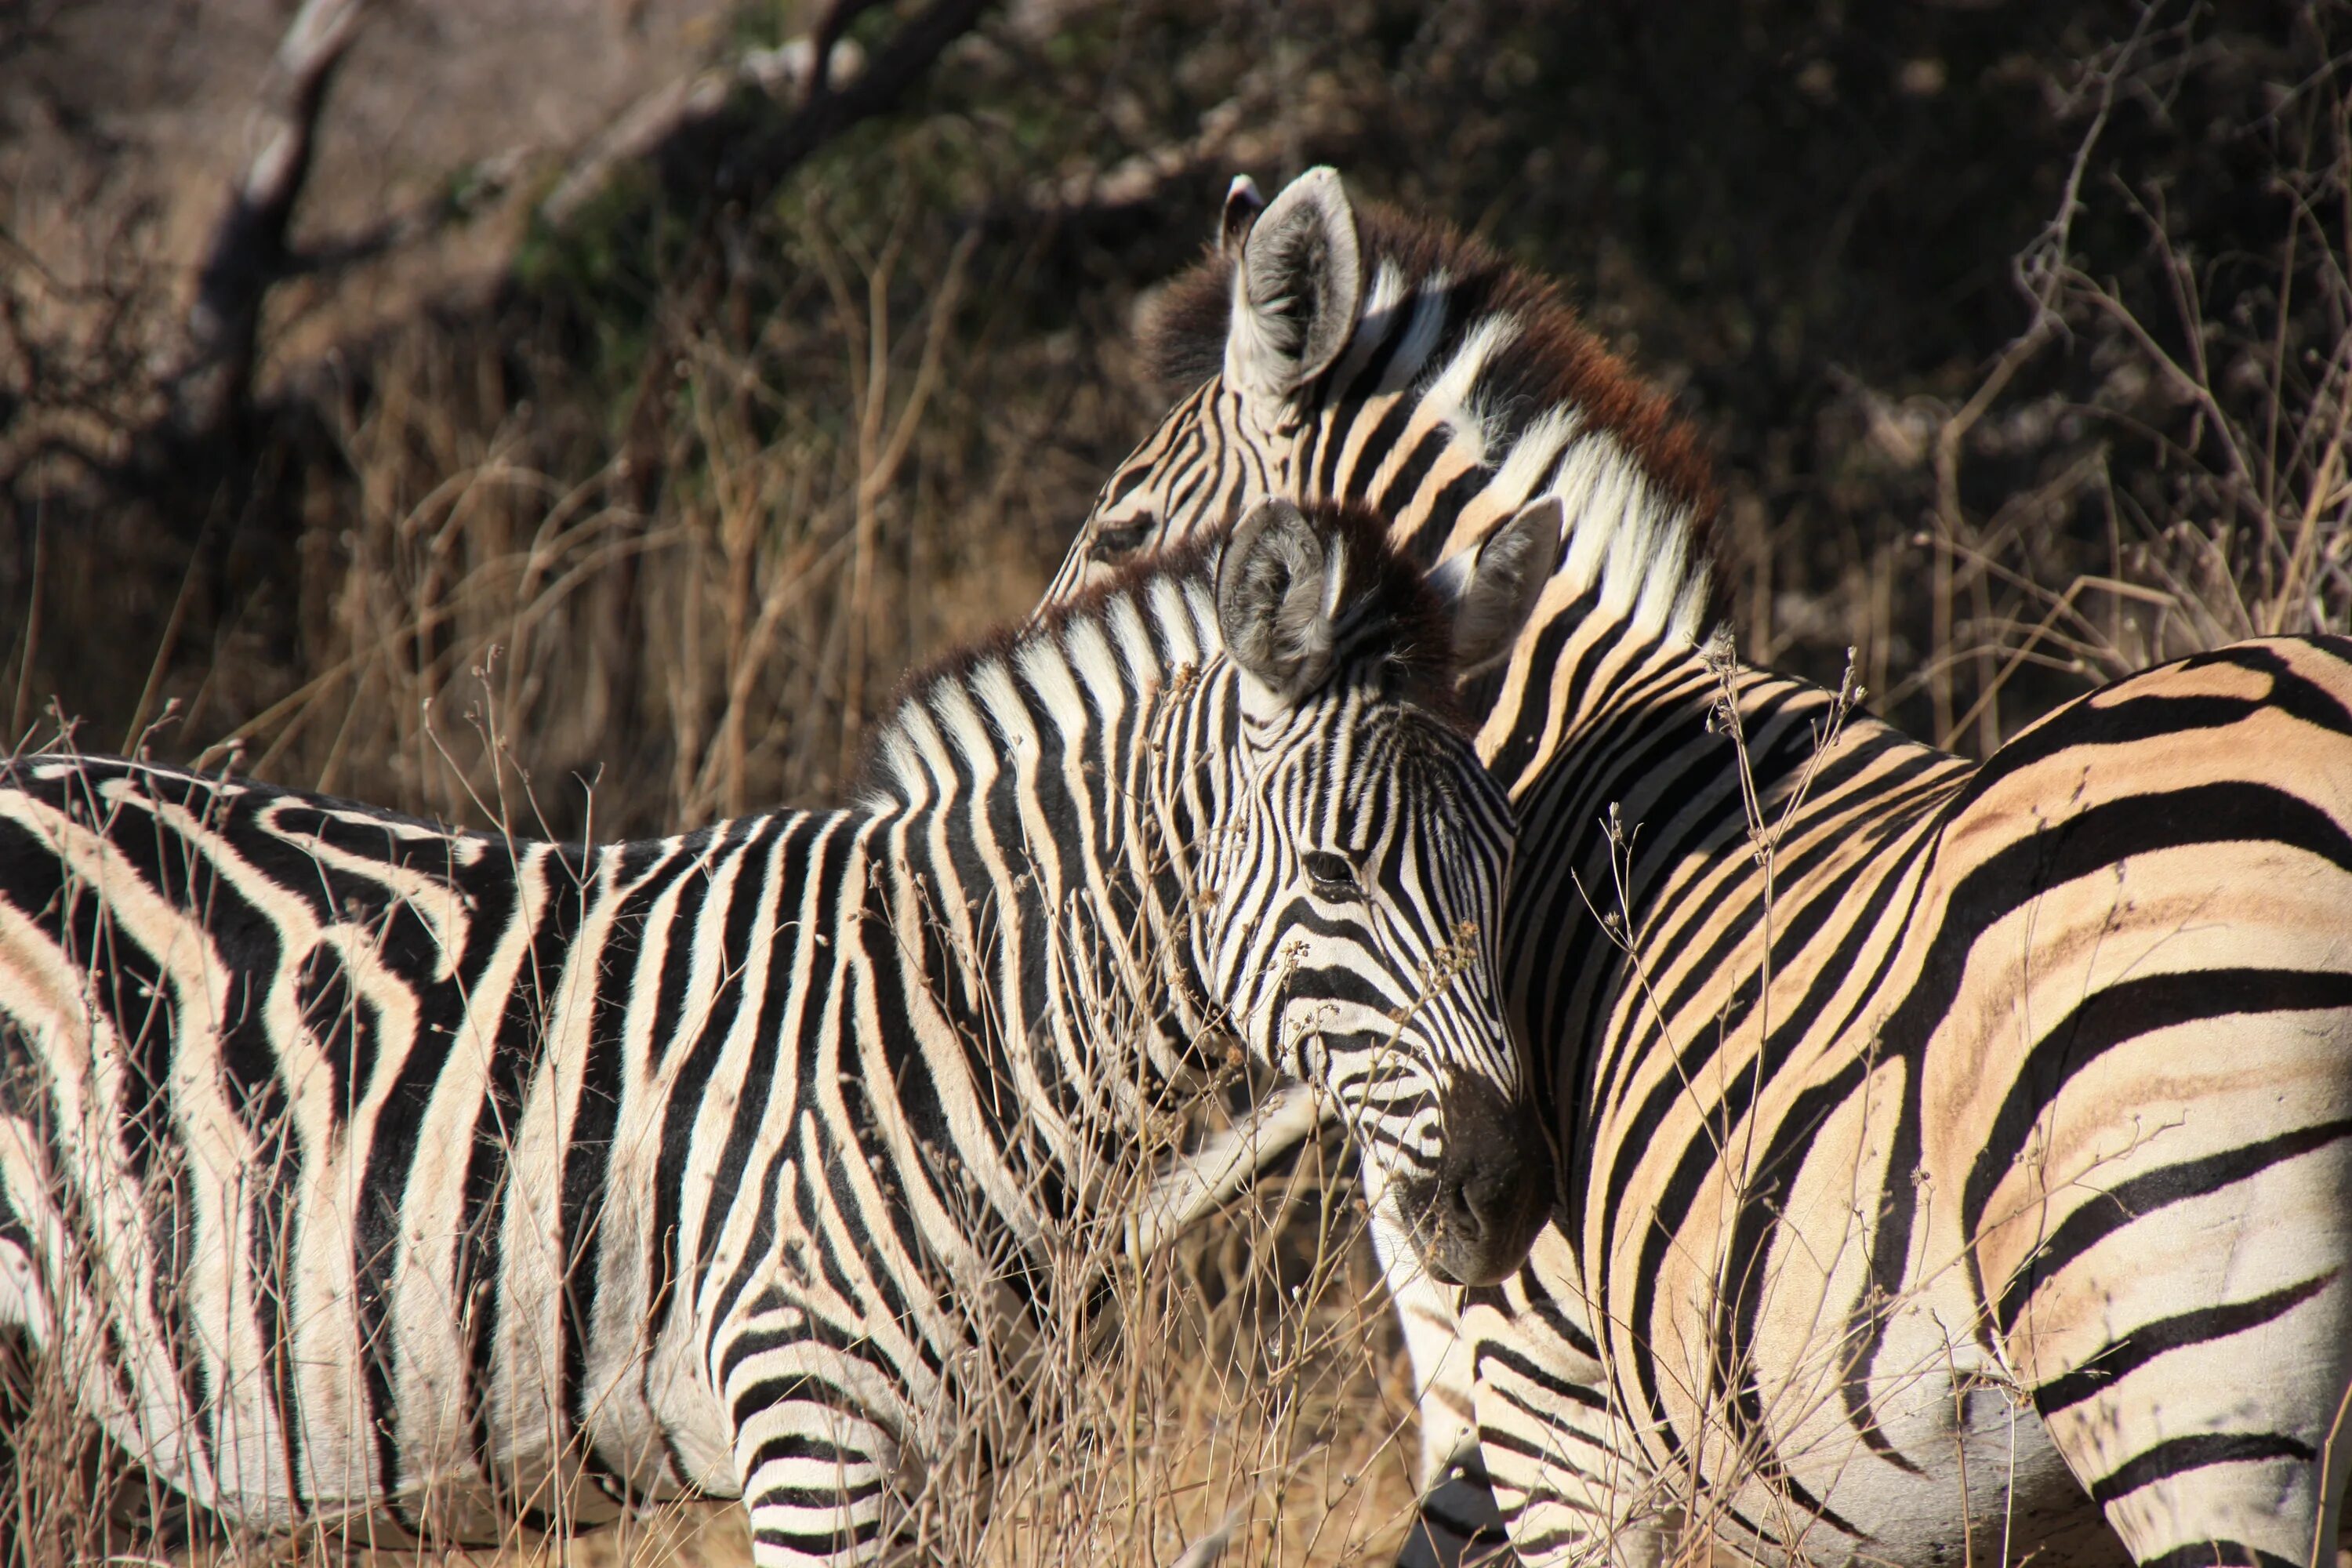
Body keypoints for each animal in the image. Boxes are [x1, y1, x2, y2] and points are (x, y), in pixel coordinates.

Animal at [0, 500, 1562, 1568]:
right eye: (1336, 876)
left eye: (1508, 858)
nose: (1504, 1194)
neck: (964, 1019)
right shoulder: (819, 1438)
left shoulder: (949, 1471)